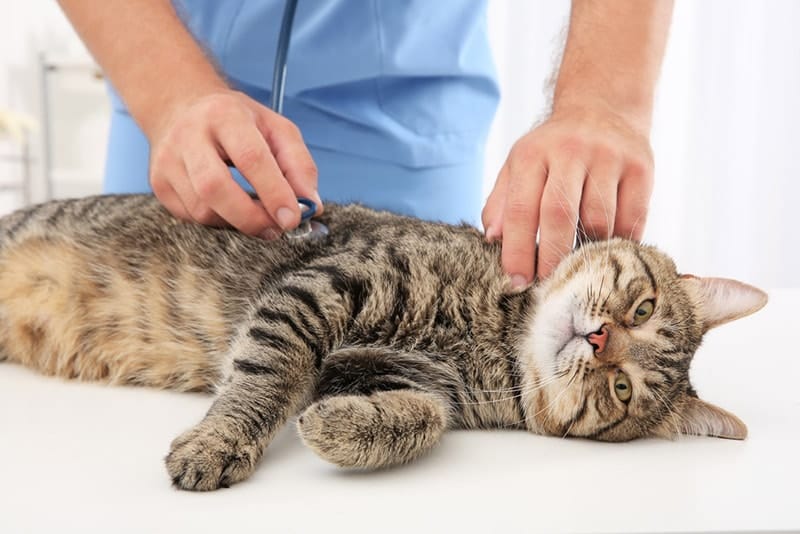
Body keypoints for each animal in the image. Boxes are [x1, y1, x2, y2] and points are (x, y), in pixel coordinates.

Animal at [0, 195, 768, 492]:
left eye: (621, 389)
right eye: (642, 307)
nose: (602, 337)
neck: (492, 338)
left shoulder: (390, 373)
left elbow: (419, 418)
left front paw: (334, 429)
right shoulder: (322, 287)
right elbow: (263, 378)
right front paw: (219, 442)